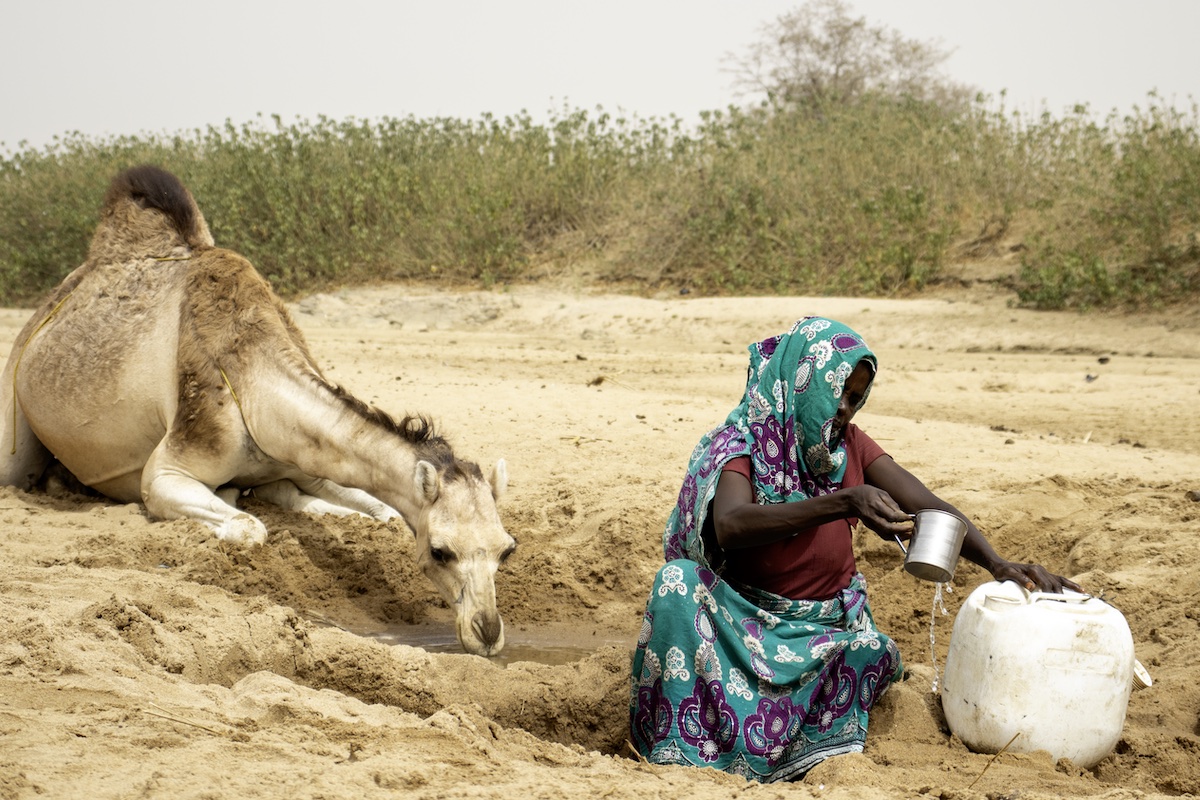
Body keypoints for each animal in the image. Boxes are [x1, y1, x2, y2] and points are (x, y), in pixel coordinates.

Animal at [0, 165, 515, 657]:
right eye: (441, 551)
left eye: (507, 550)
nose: (488, 632)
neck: (253, 389)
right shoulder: (167, 470)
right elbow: (248, 527)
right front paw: (241, 503)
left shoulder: (307, 461)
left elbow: (380, 513)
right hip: (15, 410)